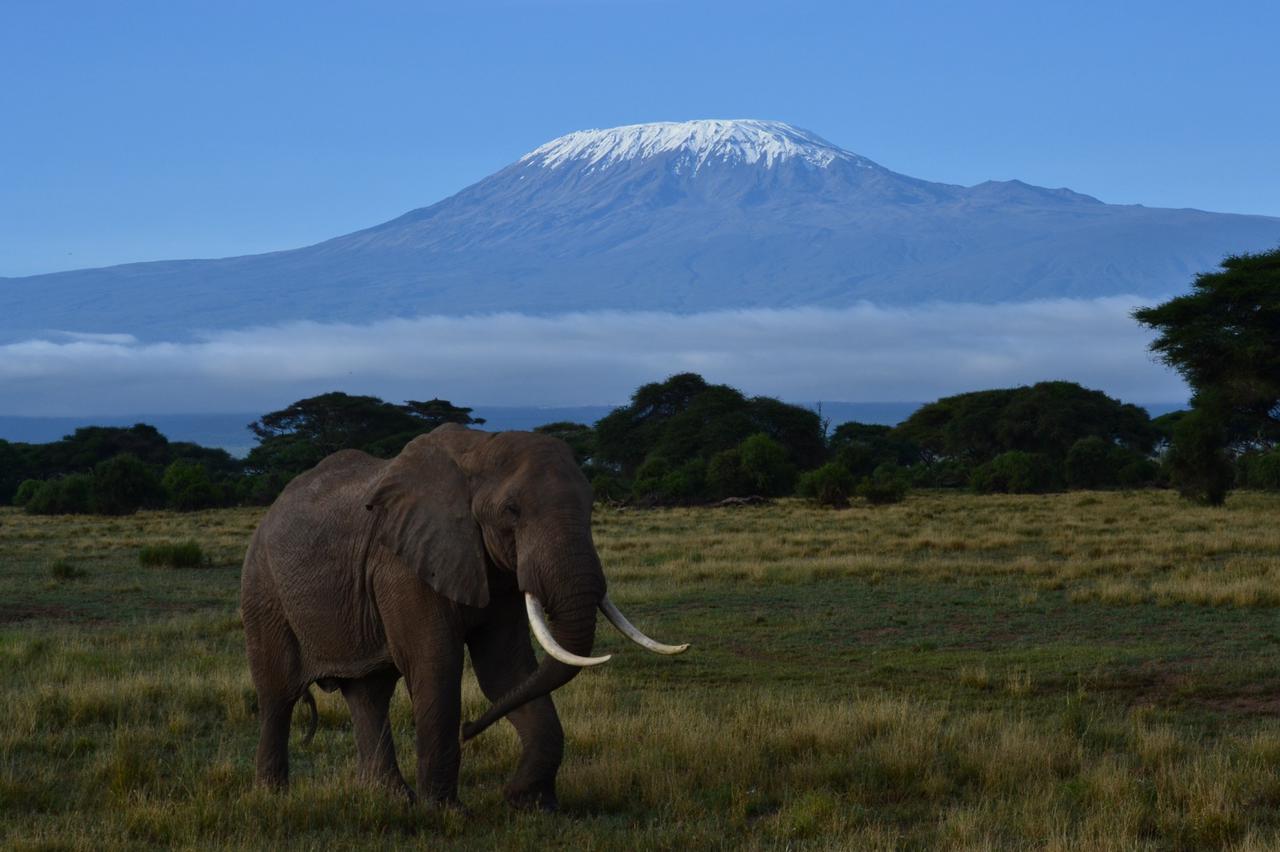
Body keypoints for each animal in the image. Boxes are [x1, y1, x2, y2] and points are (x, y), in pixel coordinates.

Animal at [236, 422, 686, 808]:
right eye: (511, 510)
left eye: (592, 506)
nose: (468, 729)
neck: (479, 450)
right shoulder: (402, 565)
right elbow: (436, 664)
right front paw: (445, 812)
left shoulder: (496, 572)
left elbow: (506, 670)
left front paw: (530, 804)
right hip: (262, 588)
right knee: (278, 693)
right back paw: (273, 797)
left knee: (369, 693)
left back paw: (391, 799)